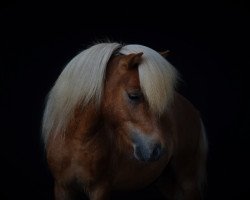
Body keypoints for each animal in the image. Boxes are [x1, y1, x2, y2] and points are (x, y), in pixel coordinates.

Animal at [42, 41, 208, 199]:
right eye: (134, 95)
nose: (157, 149)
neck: (76, 141)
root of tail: (192, 109)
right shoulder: (62, 188)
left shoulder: (100, 189)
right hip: (166, 182)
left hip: (187, 181)